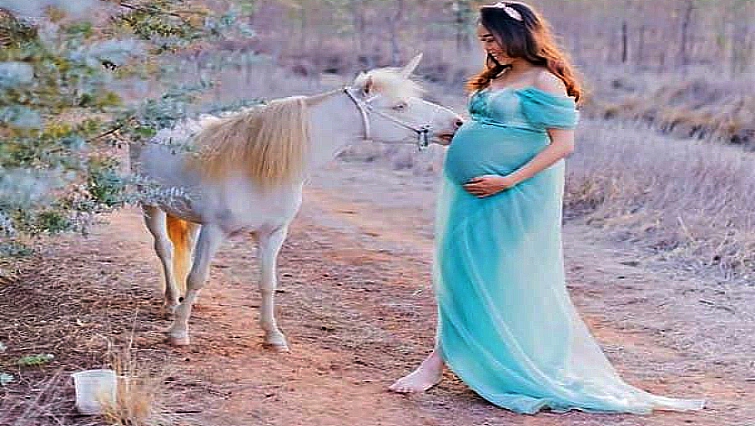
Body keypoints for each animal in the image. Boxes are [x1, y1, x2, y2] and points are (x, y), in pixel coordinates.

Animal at [130, 54, 463, 350]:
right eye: (400, 106)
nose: (457, 122)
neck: (255, 167)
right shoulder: (215, 231)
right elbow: (197, 277)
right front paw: (178, 334)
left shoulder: (272, 234)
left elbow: (267, 283)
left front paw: (273, 336)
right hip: (150, 206)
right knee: (164, 250)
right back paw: (171, 303)